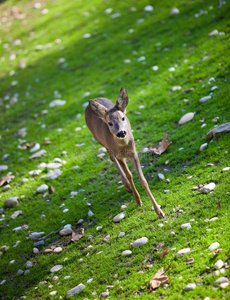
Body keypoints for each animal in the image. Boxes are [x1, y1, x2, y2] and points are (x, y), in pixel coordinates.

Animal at [84, 86, 165, 218]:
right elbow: (129, 175)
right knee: (111, 157)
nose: (121, 132)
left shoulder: (134, 152)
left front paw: (159, 212)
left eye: (123, 118)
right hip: (100, 140)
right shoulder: (119, 155)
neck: (124, 147)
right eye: (110, 123)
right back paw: (127, 186)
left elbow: (143, 179)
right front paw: (138, 201)